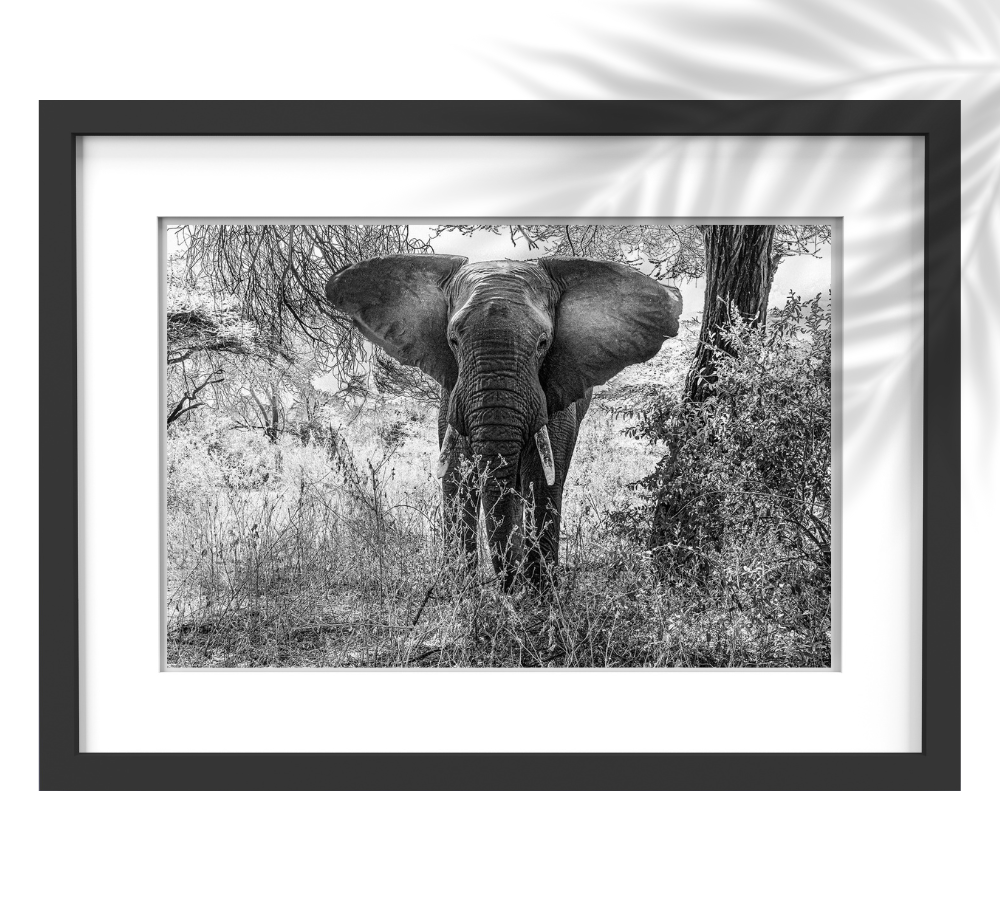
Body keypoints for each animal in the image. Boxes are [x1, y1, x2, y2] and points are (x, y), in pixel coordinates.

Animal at [324, 255, 682, 590]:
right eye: (453, 341)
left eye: (543, 343)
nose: (510, 588)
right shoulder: (452, 392)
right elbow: (457, 473)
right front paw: (461, 593)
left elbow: (543, 477)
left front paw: (538, 597)